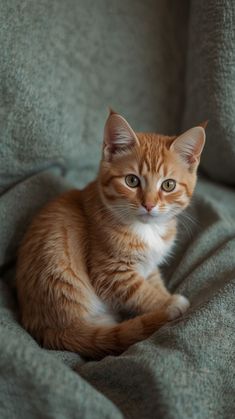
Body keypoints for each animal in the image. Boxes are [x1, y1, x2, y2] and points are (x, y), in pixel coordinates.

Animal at [16, 110, 206, 360]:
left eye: (168, 185)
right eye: (132, 180)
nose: (149, 205)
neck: (146, 229)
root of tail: (46, 330)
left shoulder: (149, 266)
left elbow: (154, 282)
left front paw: (165, 295)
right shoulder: (112, 274)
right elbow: (143, 294)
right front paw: (168, 303)